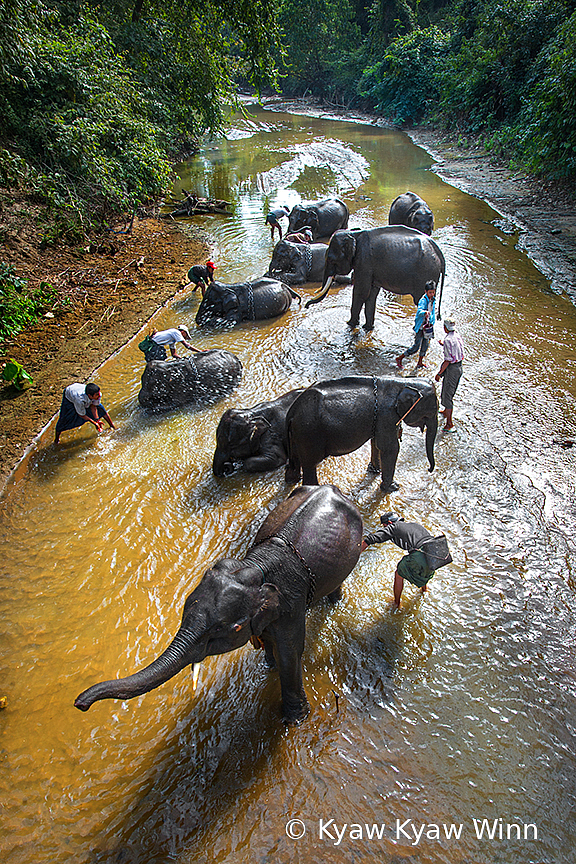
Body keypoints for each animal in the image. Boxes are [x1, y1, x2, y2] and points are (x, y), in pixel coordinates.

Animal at [74, 486, 362, 724]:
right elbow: (268, 640)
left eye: (229, 629)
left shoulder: (291, 603)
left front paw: (295, 721)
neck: (253, 567)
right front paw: (268, 666)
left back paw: (335, 602)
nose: (80, 704)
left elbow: (290, 652)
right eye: (183, 612)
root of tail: (332, 488)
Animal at [286, 372, 438, 492]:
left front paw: (375, 471)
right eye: (432, 411)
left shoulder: (379, 419)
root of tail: (292, 411)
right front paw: (393, 488)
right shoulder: (387, 416)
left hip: (297, 435)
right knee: (310, 465)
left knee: (295, 460)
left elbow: (376, 443)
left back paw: (292, 479)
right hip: (309, 433)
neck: (402, 382)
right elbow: (390, 448)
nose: (429, 470)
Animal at [306, 224, 446, 330]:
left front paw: (350, 324)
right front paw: (367, 328)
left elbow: (361, 292)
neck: (354, 234)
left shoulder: (364, 262)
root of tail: (439, 252)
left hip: (426, 273)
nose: (306, 306)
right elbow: (371, 294)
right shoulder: (371, 268)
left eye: (330, 259)